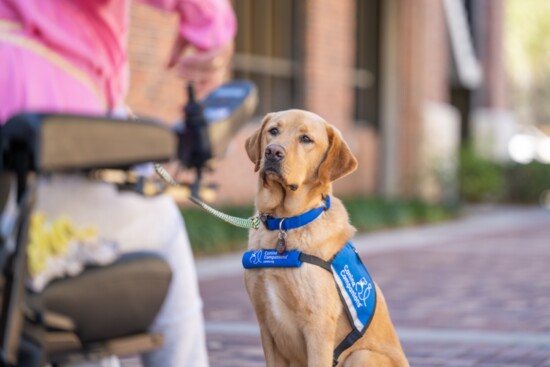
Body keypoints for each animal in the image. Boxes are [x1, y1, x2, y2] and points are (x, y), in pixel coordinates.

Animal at [245, 110, 410, 367]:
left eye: (306, 139)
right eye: (273, 131)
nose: (272, 151)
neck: (284, 223)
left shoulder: (318, 326)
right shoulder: (265, 325)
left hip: (360, 356)